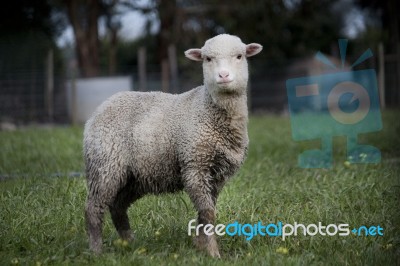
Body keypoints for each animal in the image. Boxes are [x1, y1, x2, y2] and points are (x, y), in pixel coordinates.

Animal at [83, 33, 260, 258]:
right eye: (207, 59)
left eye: (239, 56)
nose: (223, 75)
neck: (208, 109)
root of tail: (99, 110)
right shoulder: (195, 165)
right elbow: (208, 213)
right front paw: (213, 253)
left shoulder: (217, 174)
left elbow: (206, 213)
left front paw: (200, 246)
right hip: (106, 164)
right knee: (94, 208)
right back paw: (97, 250)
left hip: (136, 176)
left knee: (118, 207)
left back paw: (130, 245)